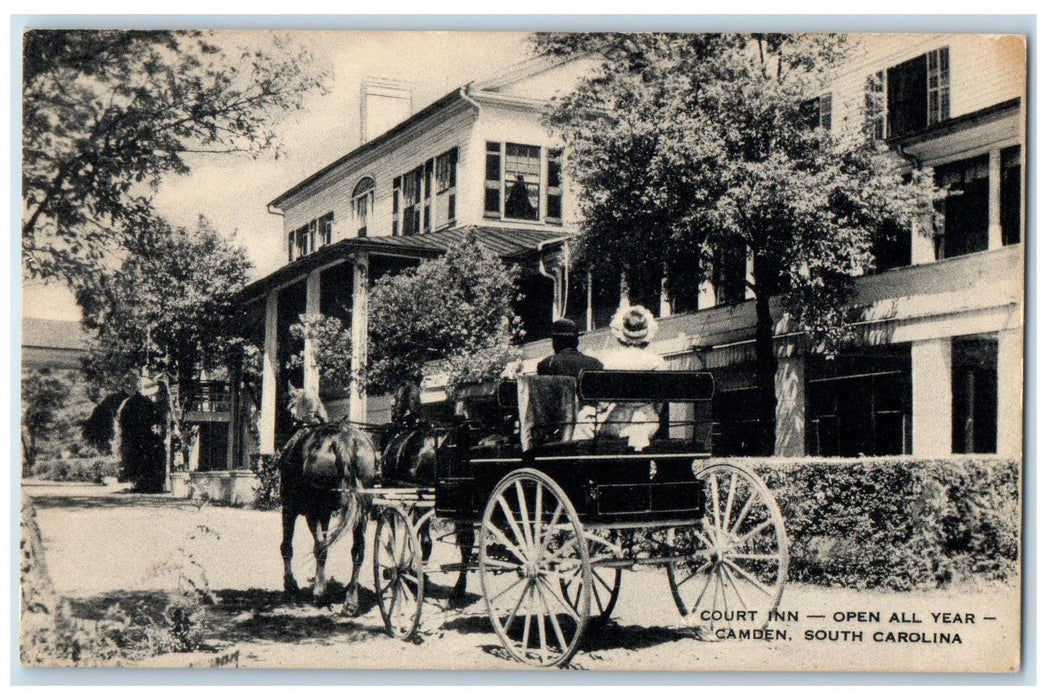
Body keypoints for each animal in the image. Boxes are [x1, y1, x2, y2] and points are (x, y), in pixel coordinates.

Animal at [278, 385, 376, 615]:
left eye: (287, 403)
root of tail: (344, 439)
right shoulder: (325, 513)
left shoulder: (290, 508)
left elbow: (287, 546)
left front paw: (290, 584)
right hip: (361, 511)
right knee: (358, 550)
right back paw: (350, 600)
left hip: (314, 510)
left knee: (320, 546)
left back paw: (319, 593)